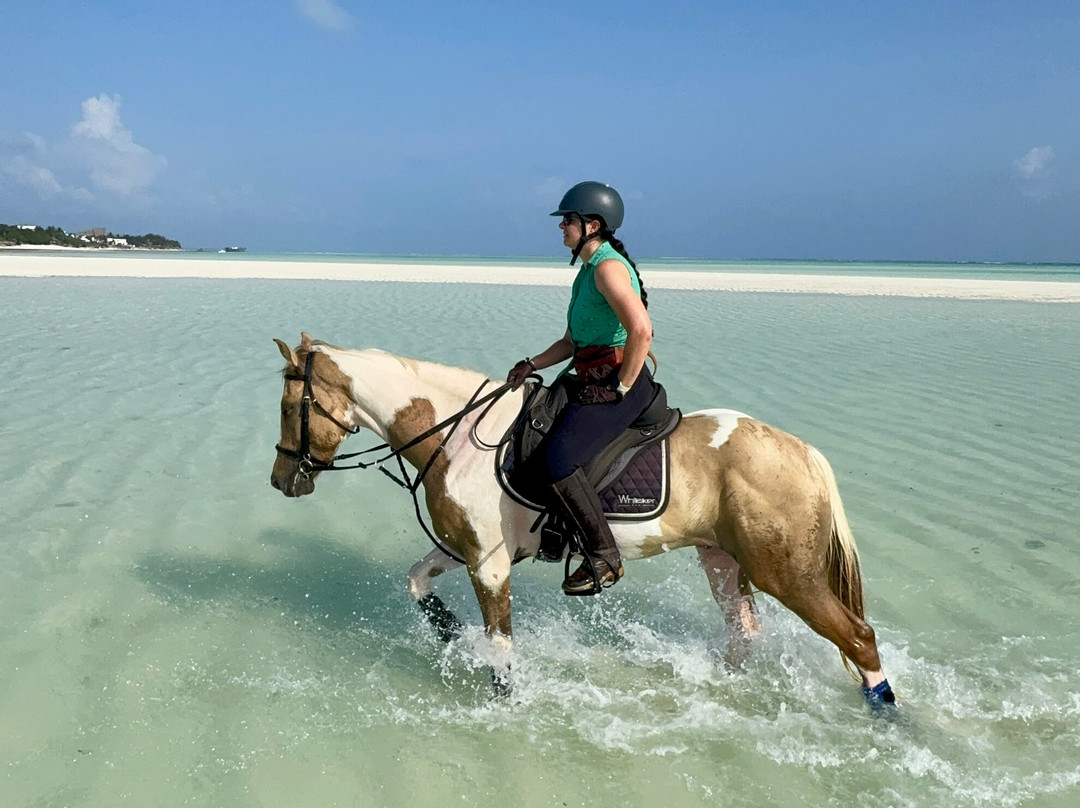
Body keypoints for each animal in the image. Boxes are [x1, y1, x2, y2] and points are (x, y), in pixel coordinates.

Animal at [270, 333, 896, 706]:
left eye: (287, 405)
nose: (281, 481)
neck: (457, 433)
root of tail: (801, 452)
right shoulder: (460, 551)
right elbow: (416, 582)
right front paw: (448, 631)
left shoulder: (489, 566)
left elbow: (501, 647)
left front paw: (501, 700)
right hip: (722, 560)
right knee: (744, 631)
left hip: (785, 573)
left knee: (859, 639)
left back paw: (887, 714)